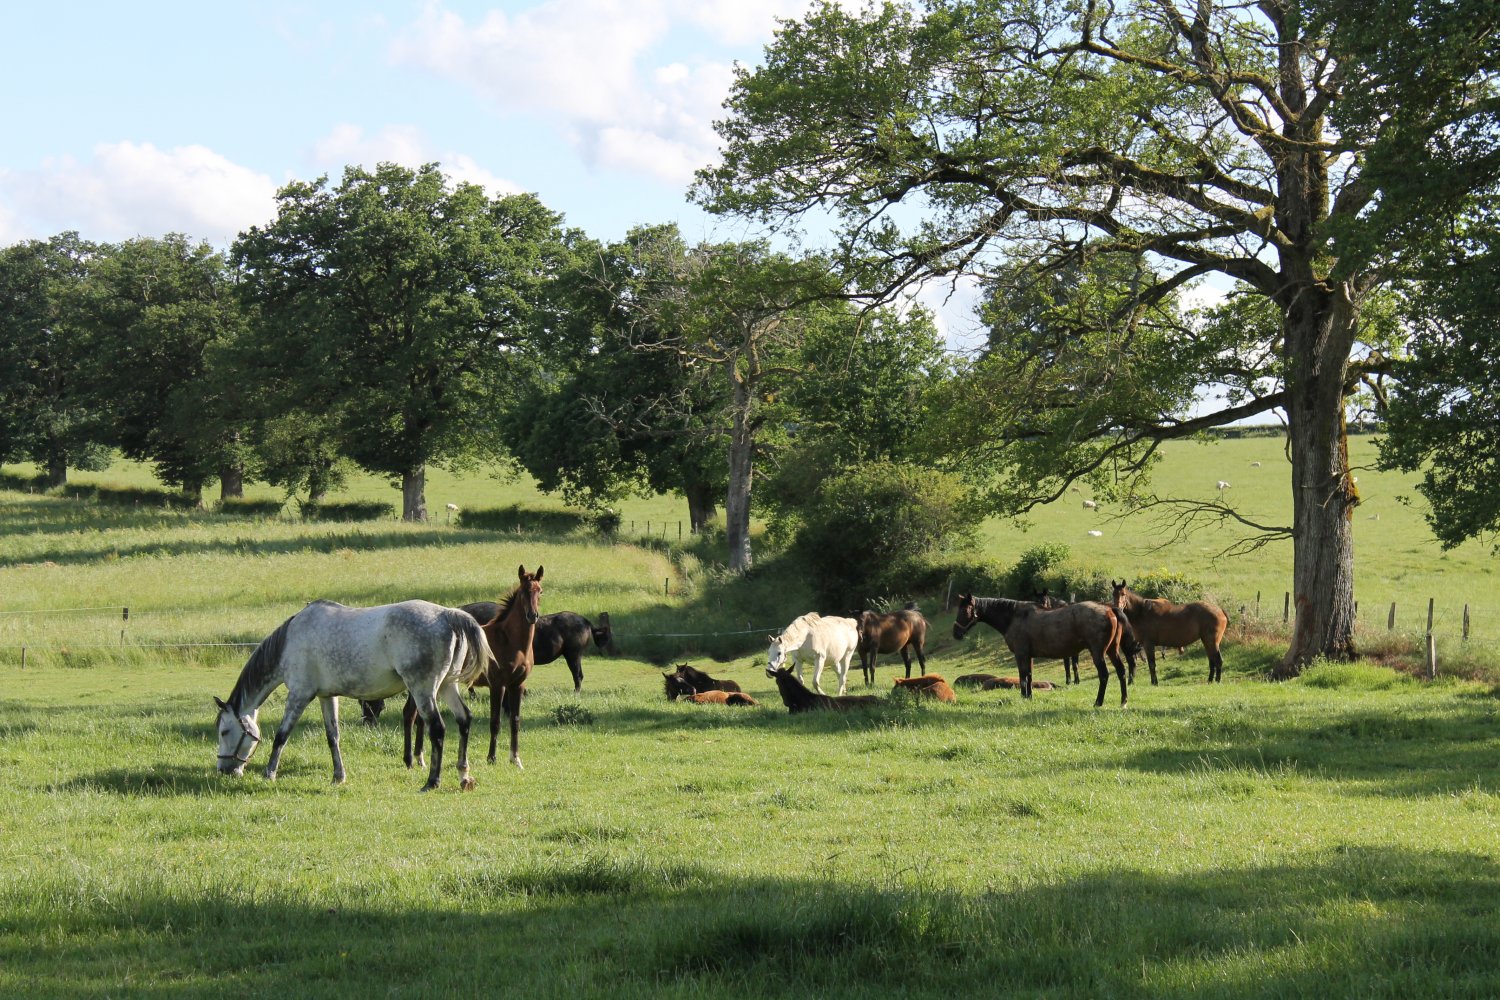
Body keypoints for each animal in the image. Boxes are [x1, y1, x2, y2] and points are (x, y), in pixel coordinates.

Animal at [213, 599, 493, 791]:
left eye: (224, 731)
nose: (224, 770)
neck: (290, 641)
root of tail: (447, 615)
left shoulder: (299, 695)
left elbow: (282, 736)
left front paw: (270, 773)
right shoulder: (327, 696)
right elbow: (333, 736)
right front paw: (339, 776)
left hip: (424, 690)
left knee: (437, 728)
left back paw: (432, 781)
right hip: (446, 686)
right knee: (464, 719)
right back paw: (463, 774)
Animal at [408, 565, 544, 769]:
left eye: (539, 591)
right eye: (522, 593)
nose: (532, 616)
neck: (511, 642)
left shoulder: (517, 685)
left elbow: (515, 721)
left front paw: (515, 759)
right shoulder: (497, 685)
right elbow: (495, 722)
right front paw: (492, 758)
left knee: (419, 718)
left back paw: (419, 759)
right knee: (410, 715)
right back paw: (411, 760)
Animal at [951, 593, 1129, 706]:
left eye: (964, 610)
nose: (956, 633)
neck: (1013, 617)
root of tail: (1109, 609)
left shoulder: (1021, 655)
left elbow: (1023, 678)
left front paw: (1024, 697)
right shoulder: (1028, 656)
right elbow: (1029, 677)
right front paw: (1029, 697)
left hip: (1098, 652)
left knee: (1104, 675)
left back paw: (1098, 702)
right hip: (1112, 650)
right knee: (1121, 672)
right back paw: (1123, 702)